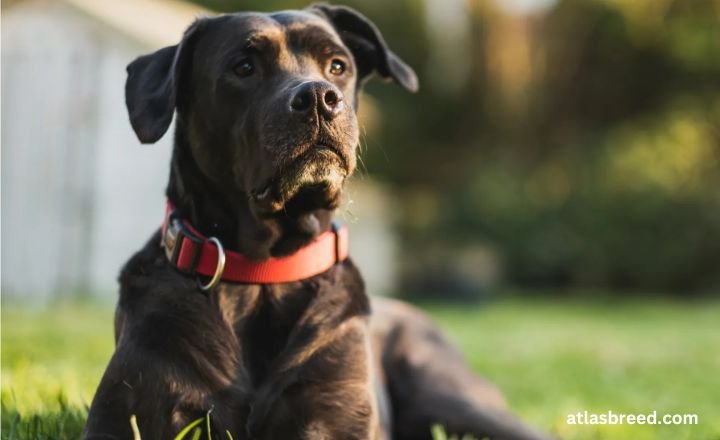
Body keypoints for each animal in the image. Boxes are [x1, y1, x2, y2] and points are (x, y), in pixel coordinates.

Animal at [81, 4, 548, 440]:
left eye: (337, 66)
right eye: (243, 67)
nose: (320, 98)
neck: (264, 273)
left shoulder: (333, 414)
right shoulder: (132, 411)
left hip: (452, 402)